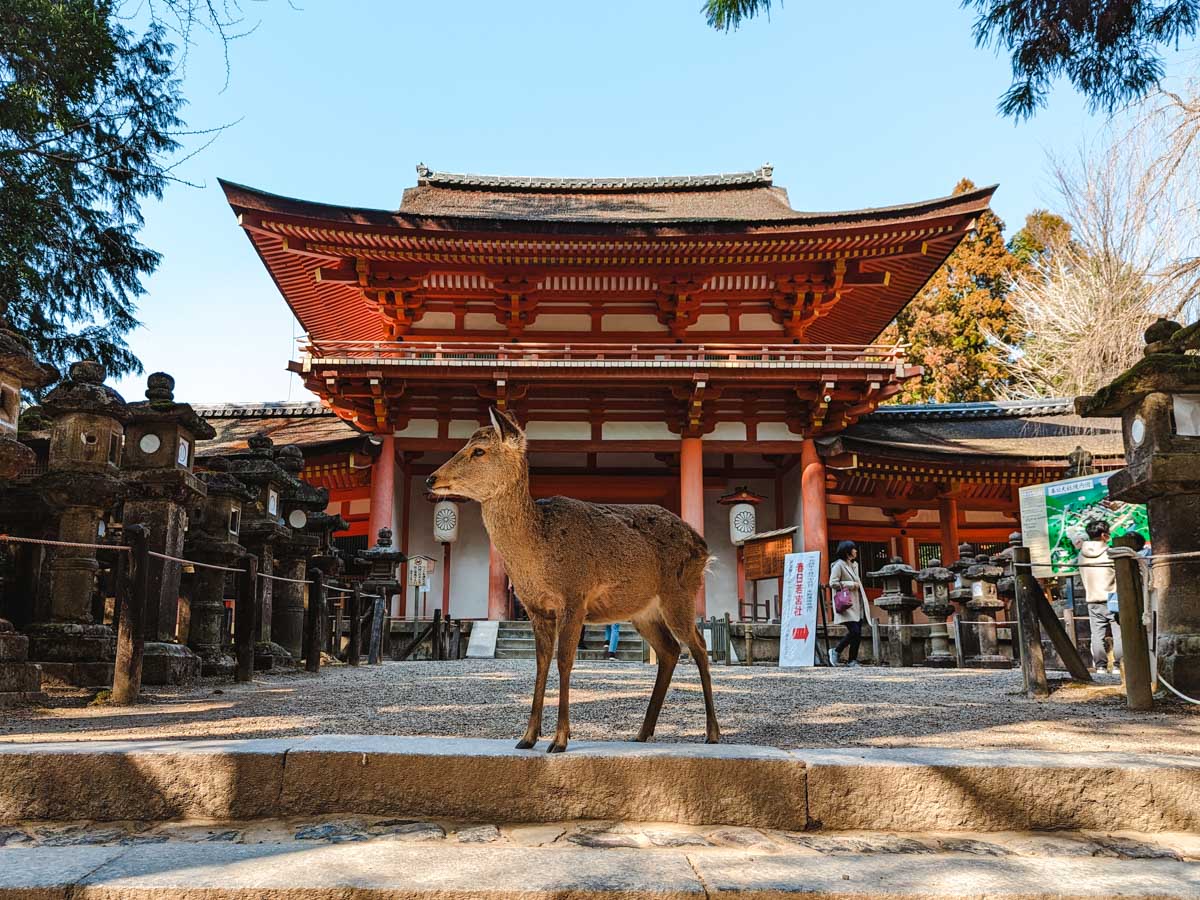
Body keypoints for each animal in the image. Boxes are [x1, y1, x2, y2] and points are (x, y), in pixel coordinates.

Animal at [427, 408, 715, 753]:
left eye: (479, 451)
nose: (431, 478)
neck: (538, 555)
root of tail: (703, 546)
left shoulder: (574, 597)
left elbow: (564, 660)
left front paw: (560, 739)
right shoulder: (535, 608)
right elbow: (540, 663)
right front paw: (527, 737)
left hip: (680, 593)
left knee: (698, 645)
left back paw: (712, 732)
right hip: (643, 611)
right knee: (670, 650)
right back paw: (642, 732)